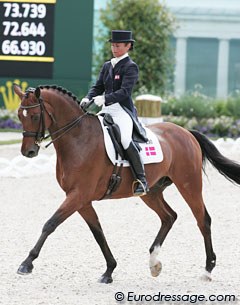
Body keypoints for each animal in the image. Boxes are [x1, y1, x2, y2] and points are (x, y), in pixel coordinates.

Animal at [13, 83, 240, 282]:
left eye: (34, 116)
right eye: (18, 116)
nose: (28, 152)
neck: (78, 138)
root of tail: (186, 132)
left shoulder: (78, 195)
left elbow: (50, 224)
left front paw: (26, 263)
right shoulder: (82, 200)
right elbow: (98, 233)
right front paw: (109, 271)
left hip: (189, 185)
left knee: (203, 220)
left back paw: (207, 270)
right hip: (151, 192)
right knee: (169, 217)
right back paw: (154, 263)